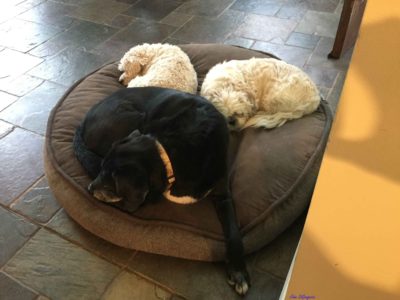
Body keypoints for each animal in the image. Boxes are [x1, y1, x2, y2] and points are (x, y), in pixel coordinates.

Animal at [74, 87, 250, 296]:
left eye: (109, 183)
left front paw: (238, 271)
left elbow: (233, 230)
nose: (89, 188)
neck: (170, 153)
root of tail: (83, 121)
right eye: (101, 171)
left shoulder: (223, 193)